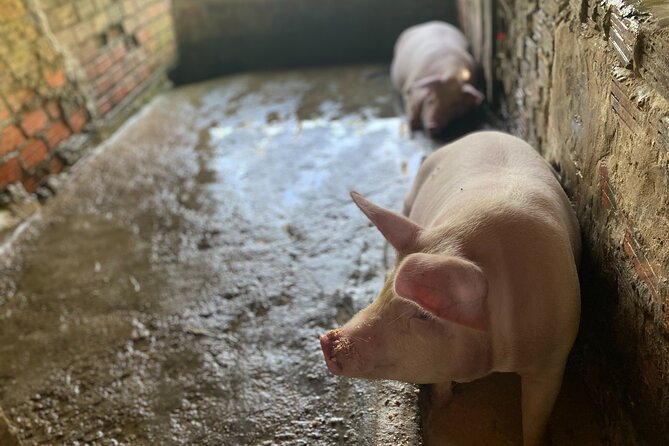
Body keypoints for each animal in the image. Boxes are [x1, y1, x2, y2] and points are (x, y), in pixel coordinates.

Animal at [320, 131, 580, 444]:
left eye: (423, 314)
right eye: (384, 290)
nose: (327, 340)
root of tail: (483, 133)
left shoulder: (553, 357)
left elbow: (535, 418)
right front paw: (441, 405)